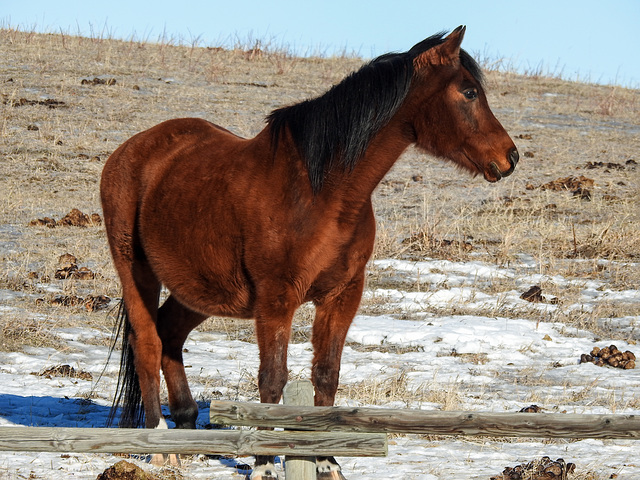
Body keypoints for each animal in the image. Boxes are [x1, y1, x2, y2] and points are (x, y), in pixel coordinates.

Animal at [101, 27, 520, 480]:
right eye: (469, 92)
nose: (510, 157)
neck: (324, 193)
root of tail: (131, 150)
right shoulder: (276, 299)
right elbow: (272, 379)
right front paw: (265, 464)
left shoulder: (341, 296)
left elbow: (326, 376)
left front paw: (327, 461)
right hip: (135, 269)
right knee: (147, 342)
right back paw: (161, 443)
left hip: (200, 289)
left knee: (170, 335)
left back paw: (186, 424)